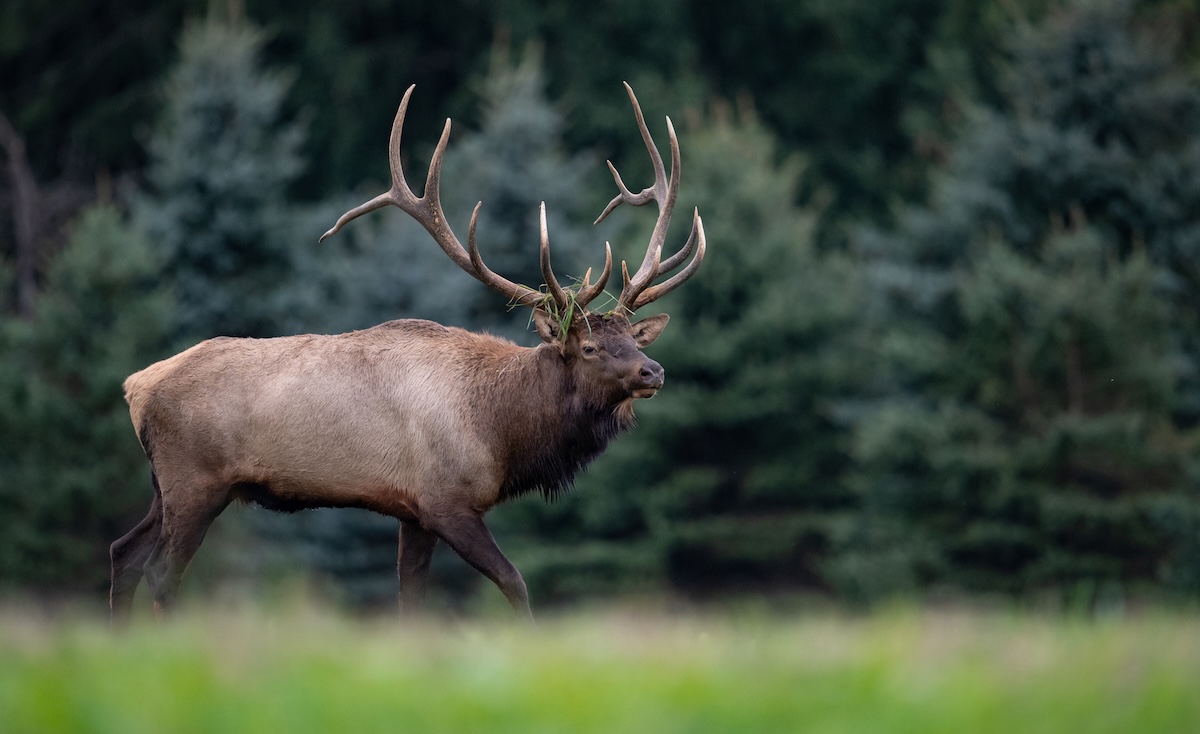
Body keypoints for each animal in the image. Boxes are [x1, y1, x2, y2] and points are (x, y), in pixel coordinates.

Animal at [109, 83, 705, 622]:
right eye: (588, 346)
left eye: (631, 338)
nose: (653, 371)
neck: (500, 429)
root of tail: (136, 386)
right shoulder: (446, 501)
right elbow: (515, 582)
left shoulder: (412, 512)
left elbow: (411, 602)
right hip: (196, 481)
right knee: (160, 572)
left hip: (166, 485)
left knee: (123, 552)